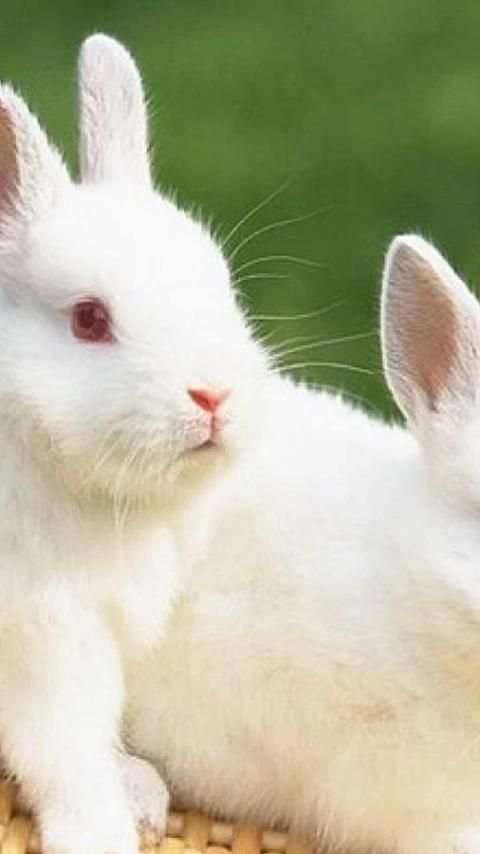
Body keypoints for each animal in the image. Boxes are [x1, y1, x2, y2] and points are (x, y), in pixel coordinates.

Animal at [0, 33, 268, 854]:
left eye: (221, 287)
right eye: (89, 318)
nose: (214, 396)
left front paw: (140, 794)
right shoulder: (47, 638)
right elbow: (63, 752)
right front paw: (99, 831)